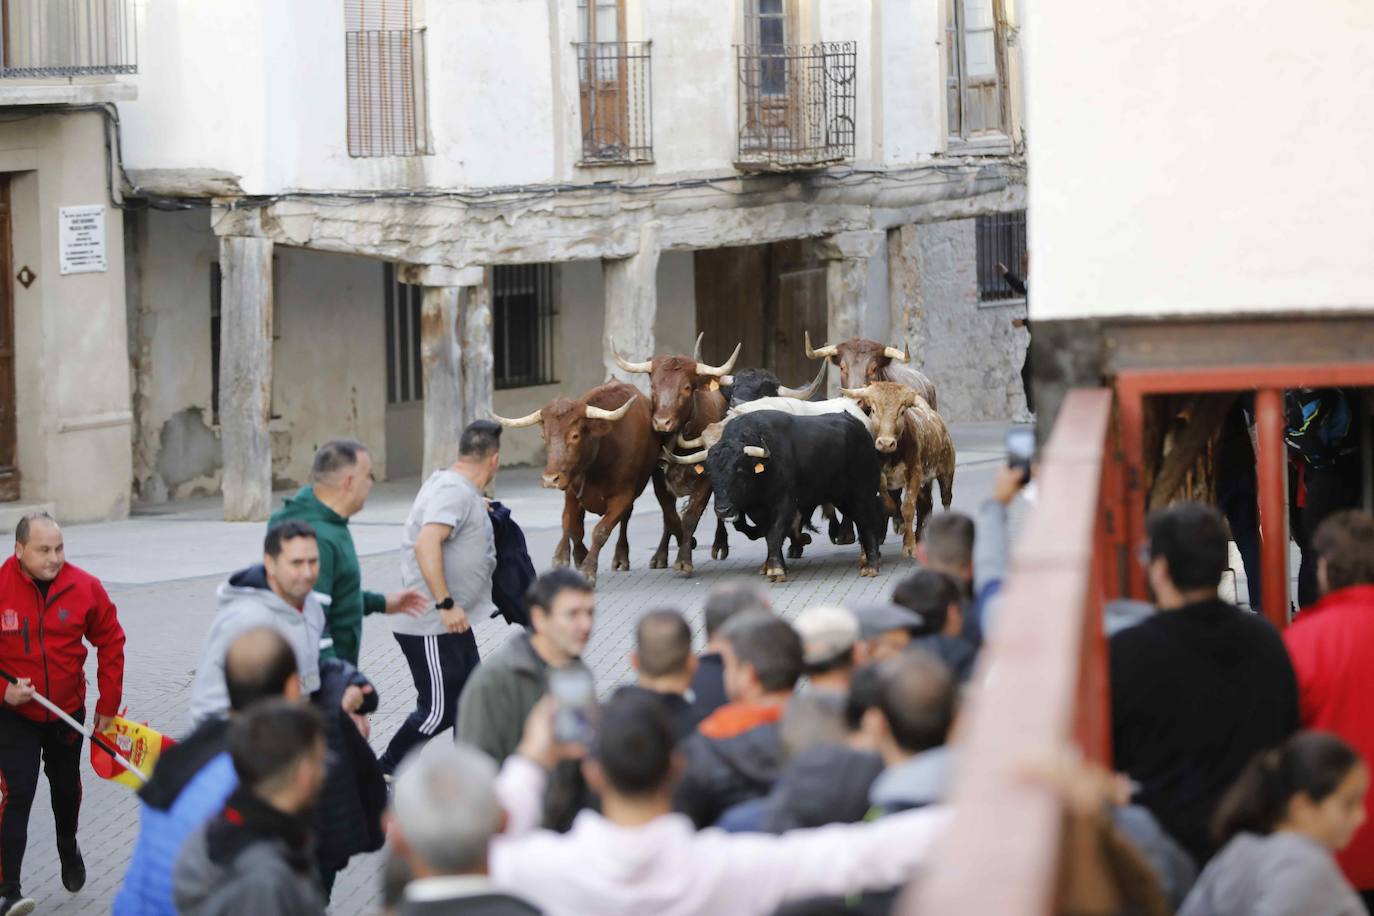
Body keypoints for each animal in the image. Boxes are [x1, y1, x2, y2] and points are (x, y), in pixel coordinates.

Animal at [494, 381, 665, 587]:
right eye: (544, 436)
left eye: (575, 436)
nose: (550, 479)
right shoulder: (572, 492)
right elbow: (571, 525)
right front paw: (571, 558)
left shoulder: (623, 496)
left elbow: (600, 531)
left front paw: (588, 569)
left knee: (625, 519)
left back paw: (621, 557)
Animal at [615, 335, 741, 574]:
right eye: (653, 386)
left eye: (686, 387)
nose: (661, 422)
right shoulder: (658, 479)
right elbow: (670, 517)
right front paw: (678, 546)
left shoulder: (705, 480)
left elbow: (691, 517)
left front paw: (684, 560)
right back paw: (661, 555)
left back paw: (720, 544)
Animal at [703, 411, 884, 585]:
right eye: (710, 473)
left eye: (739, 471)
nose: (723, 510)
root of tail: (859, 425)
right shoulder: (756, 511)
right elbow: (768, 534)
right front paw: (772, 565)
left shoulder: (785, 504)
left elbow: (775, 533)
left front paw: (776, 569)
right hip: (842, 498)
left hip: (863, 493)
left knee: (867, 522)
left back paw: (871, 565)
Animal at [835, 381, 956, 560]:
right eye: (873, 410)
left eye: (902, 411)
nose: (886, 443)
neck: (890, 456)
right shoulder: (878, 477)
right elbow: (888, 501)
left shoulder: (914, 474)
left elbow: (908, 508)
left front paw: (909, 545)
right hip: (925, 482)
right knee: (924, 504)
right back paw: (919, 537)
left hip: (946, 473)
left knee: (945, 499)